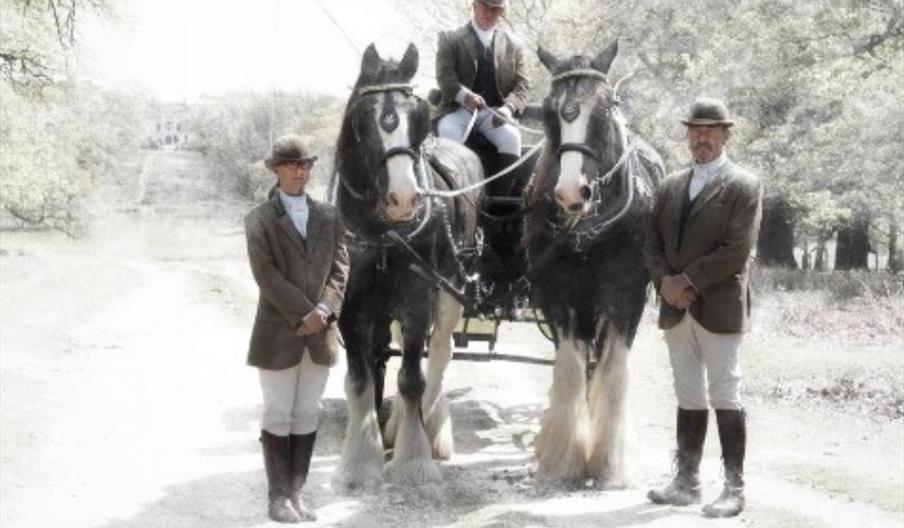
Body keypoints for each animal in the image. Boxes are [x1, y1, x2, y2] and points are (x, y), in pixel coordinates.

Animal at [334, 43, 488, 488]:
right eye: (364, 119)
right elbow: (361, 378)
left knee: (437, 353)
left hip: (452, 286)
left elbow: (412, 378)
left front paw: (413, 461)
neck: (384, 233)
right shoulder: (351, 303)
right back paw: (395, 426)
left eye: (417, 117)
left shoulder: (419, 297)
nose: (405, 198)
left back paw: (432, 430)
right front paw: (359, 462)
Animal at [524, 41, 664, 486]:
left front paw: (609, 462)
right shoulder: (557, 297)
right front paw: (562, 459)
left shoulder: (626, 299)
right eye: (550, 113)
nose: (572, 193)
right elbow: (568, 370)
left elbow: (613, 371)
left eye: (603, 111)